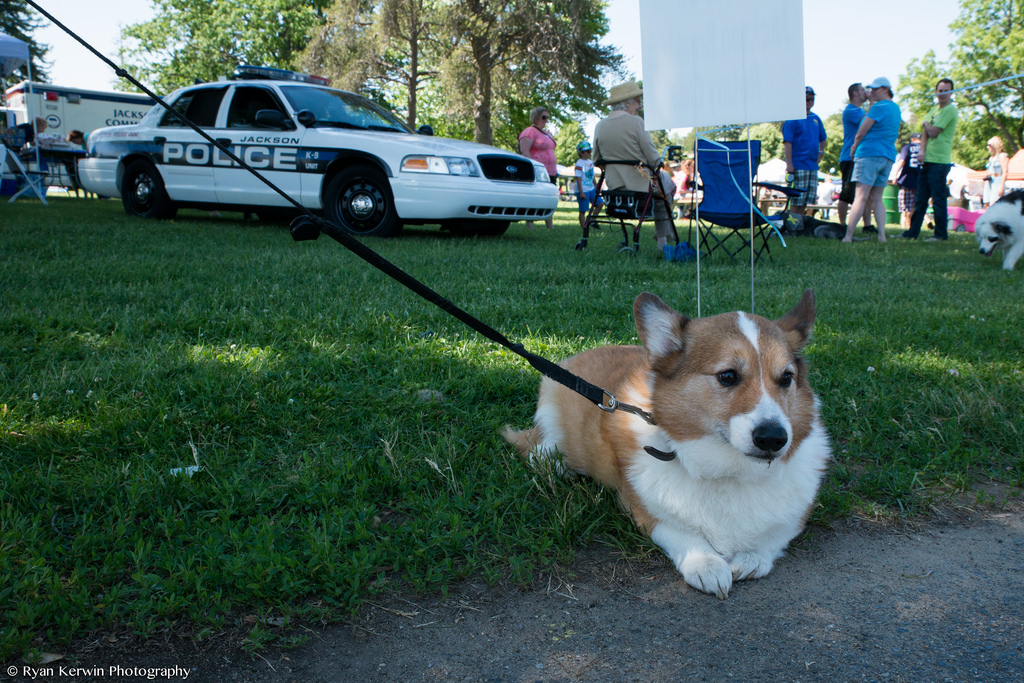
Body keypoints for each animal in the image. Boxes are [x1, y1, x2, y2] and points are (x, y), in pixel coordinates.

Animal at [503, 290, 831, 602]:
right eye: (727, 376)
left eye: (786, 378)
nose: (774, 438)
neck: (730, 471)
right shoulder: (645, 513)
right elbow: (682, 533)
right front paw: (707, 565)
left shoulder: (794, 518)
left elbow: (775, 534)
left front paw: (752, 557)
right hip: (555, 427)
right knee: (539, 451)